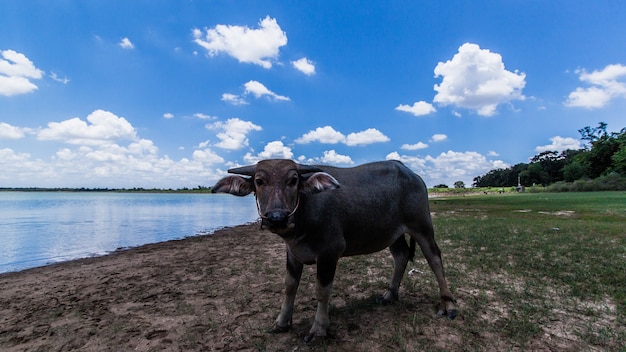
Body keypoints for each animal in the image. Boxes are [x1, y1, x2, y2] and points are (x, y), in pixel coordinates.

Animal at [212, 159, 456, 340]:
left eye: (293, 180)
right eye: (259, 181)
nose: (277, 217)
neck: (305, 215)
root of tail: (412, 174)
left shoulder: (330, 253)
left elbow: (322, 291)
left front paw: (319, 328)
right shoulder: (292, 253)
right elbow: (289, 286)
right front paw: (281, 322)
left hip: (421, 225)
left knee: (434, 258)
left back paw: (448, 304)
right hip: (393, 233)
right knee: (401, 256)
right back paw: (389, 295)